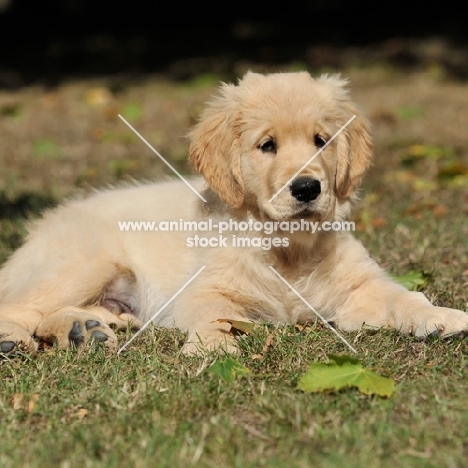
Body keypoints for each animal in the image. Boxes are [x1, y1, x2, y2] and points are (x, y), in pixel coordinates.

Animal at [0, 70, 468, 354]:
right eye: (267, 145)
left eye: (321, 141)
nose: (307, 188)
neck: (286, 249)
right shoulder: (205, 290)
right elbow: (213, 315)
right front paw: (213, 348)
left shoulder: (360, 286)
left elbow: (403, 295)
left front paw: (440, 316)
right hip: (84, 261)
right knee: (19, 306)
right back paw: (16, 340)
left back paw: (86, 330)